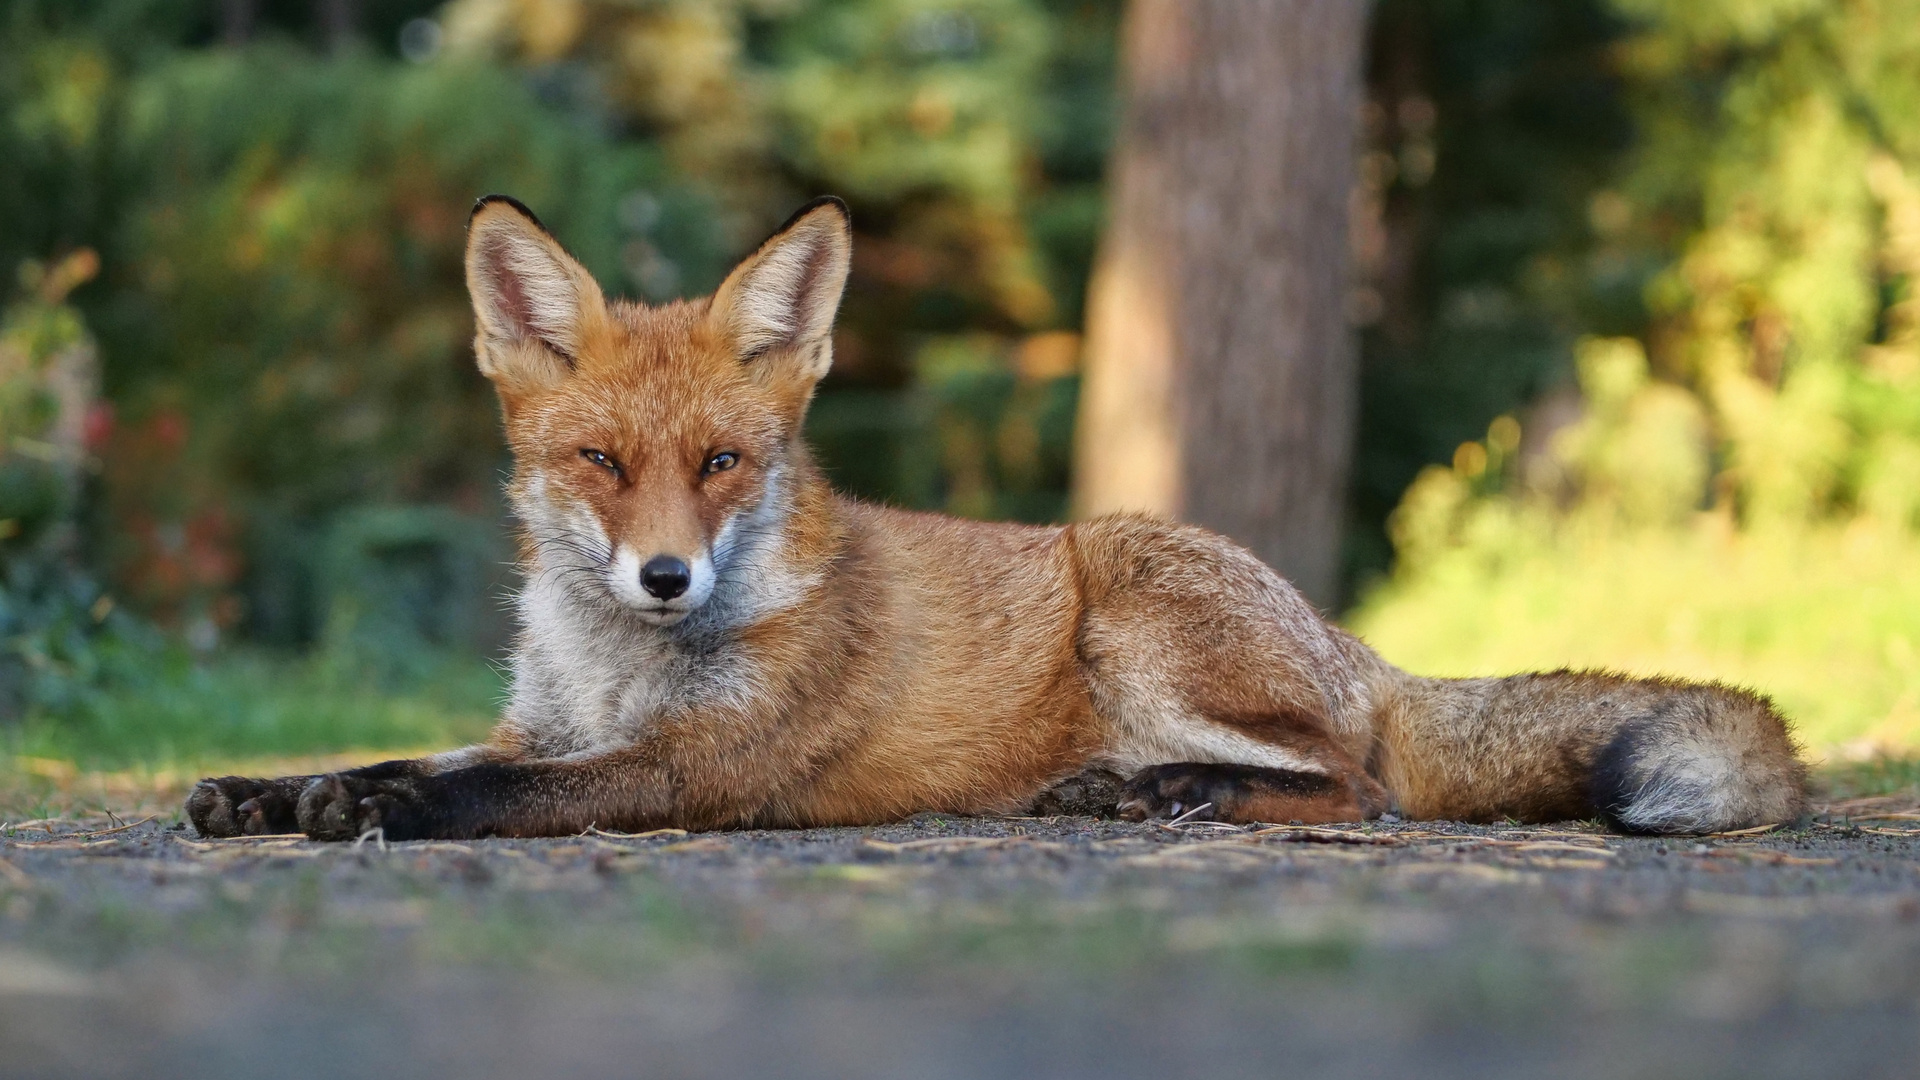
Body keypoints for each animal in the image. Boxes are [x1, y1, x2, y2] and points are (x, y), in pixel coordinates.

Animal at [187, 195, 1804, 841]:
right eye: (597, 460)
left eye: (722, 462)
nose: (662, 578)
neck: (618, 670)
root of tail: (1360, 649)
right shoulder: (543, 727)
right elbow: (413, 754)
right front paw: (276, 791)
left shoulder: (705, 765)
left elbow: (491, 798)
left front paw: (384, 815)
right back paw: (1126, 795)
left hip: (1139, 599)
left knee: (1361, 783)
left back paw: (1172, 795)